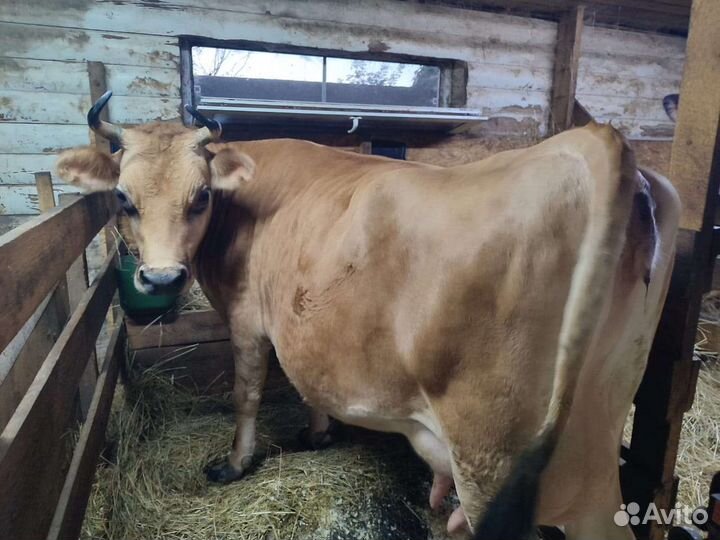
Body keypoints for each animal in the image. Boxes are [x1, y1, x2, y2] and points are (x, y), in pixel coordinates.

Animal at [56, 92, 679, 539]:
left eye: (201, 197)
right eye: (123, 199)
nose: (162, 279)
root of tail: (595, 142)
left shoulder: (246, 318)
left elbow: (248, 392)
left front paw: (234, 463)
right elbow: (307, 377)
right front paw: (318, 433)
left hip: (490, 458)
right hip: (596, 446)